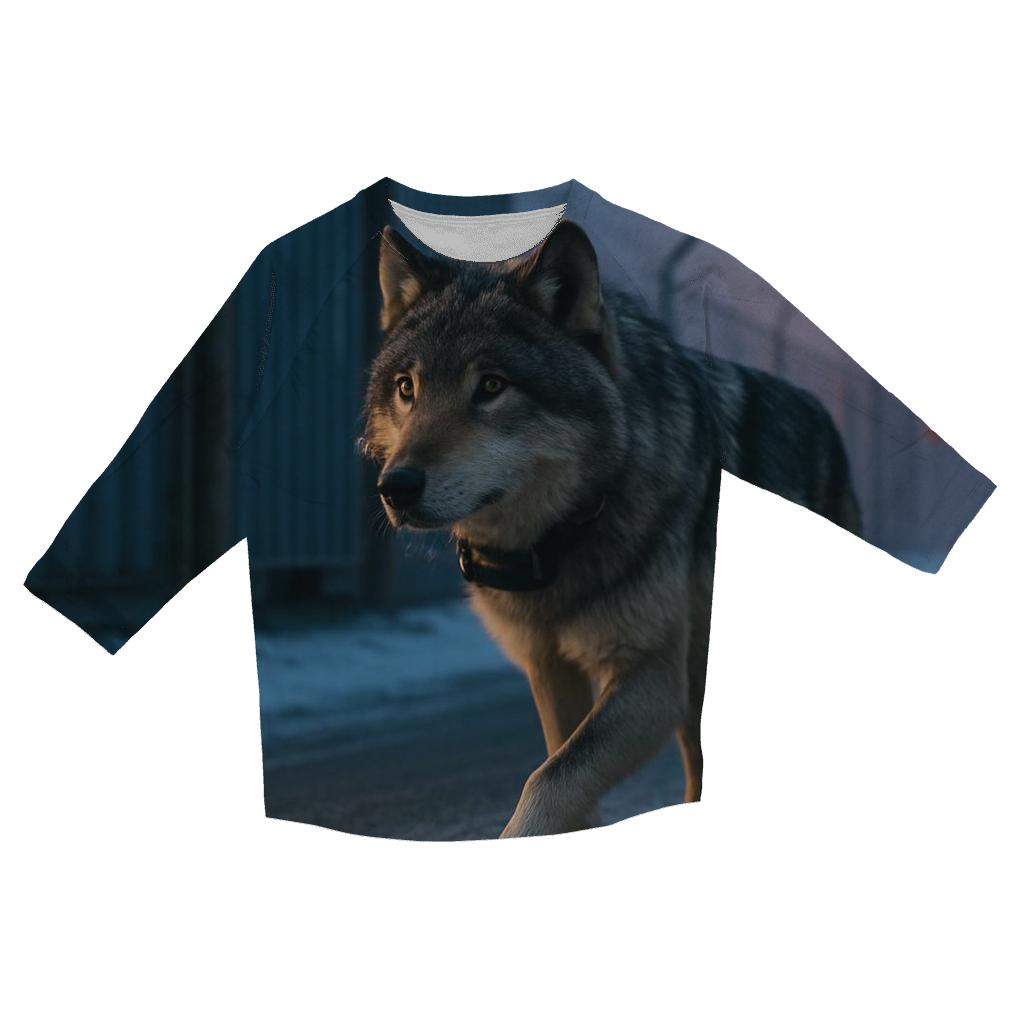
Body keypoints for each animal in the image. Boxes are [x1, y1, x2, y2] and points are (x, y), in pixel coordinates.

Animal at [360, 220, 861, 838]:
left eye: (492, 386)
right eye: (407, 388)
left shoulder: (650, 675)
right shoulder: (549, 667)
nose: (396, 486)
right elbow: (561, 770)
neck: (561, 538)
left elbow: (549, 778)